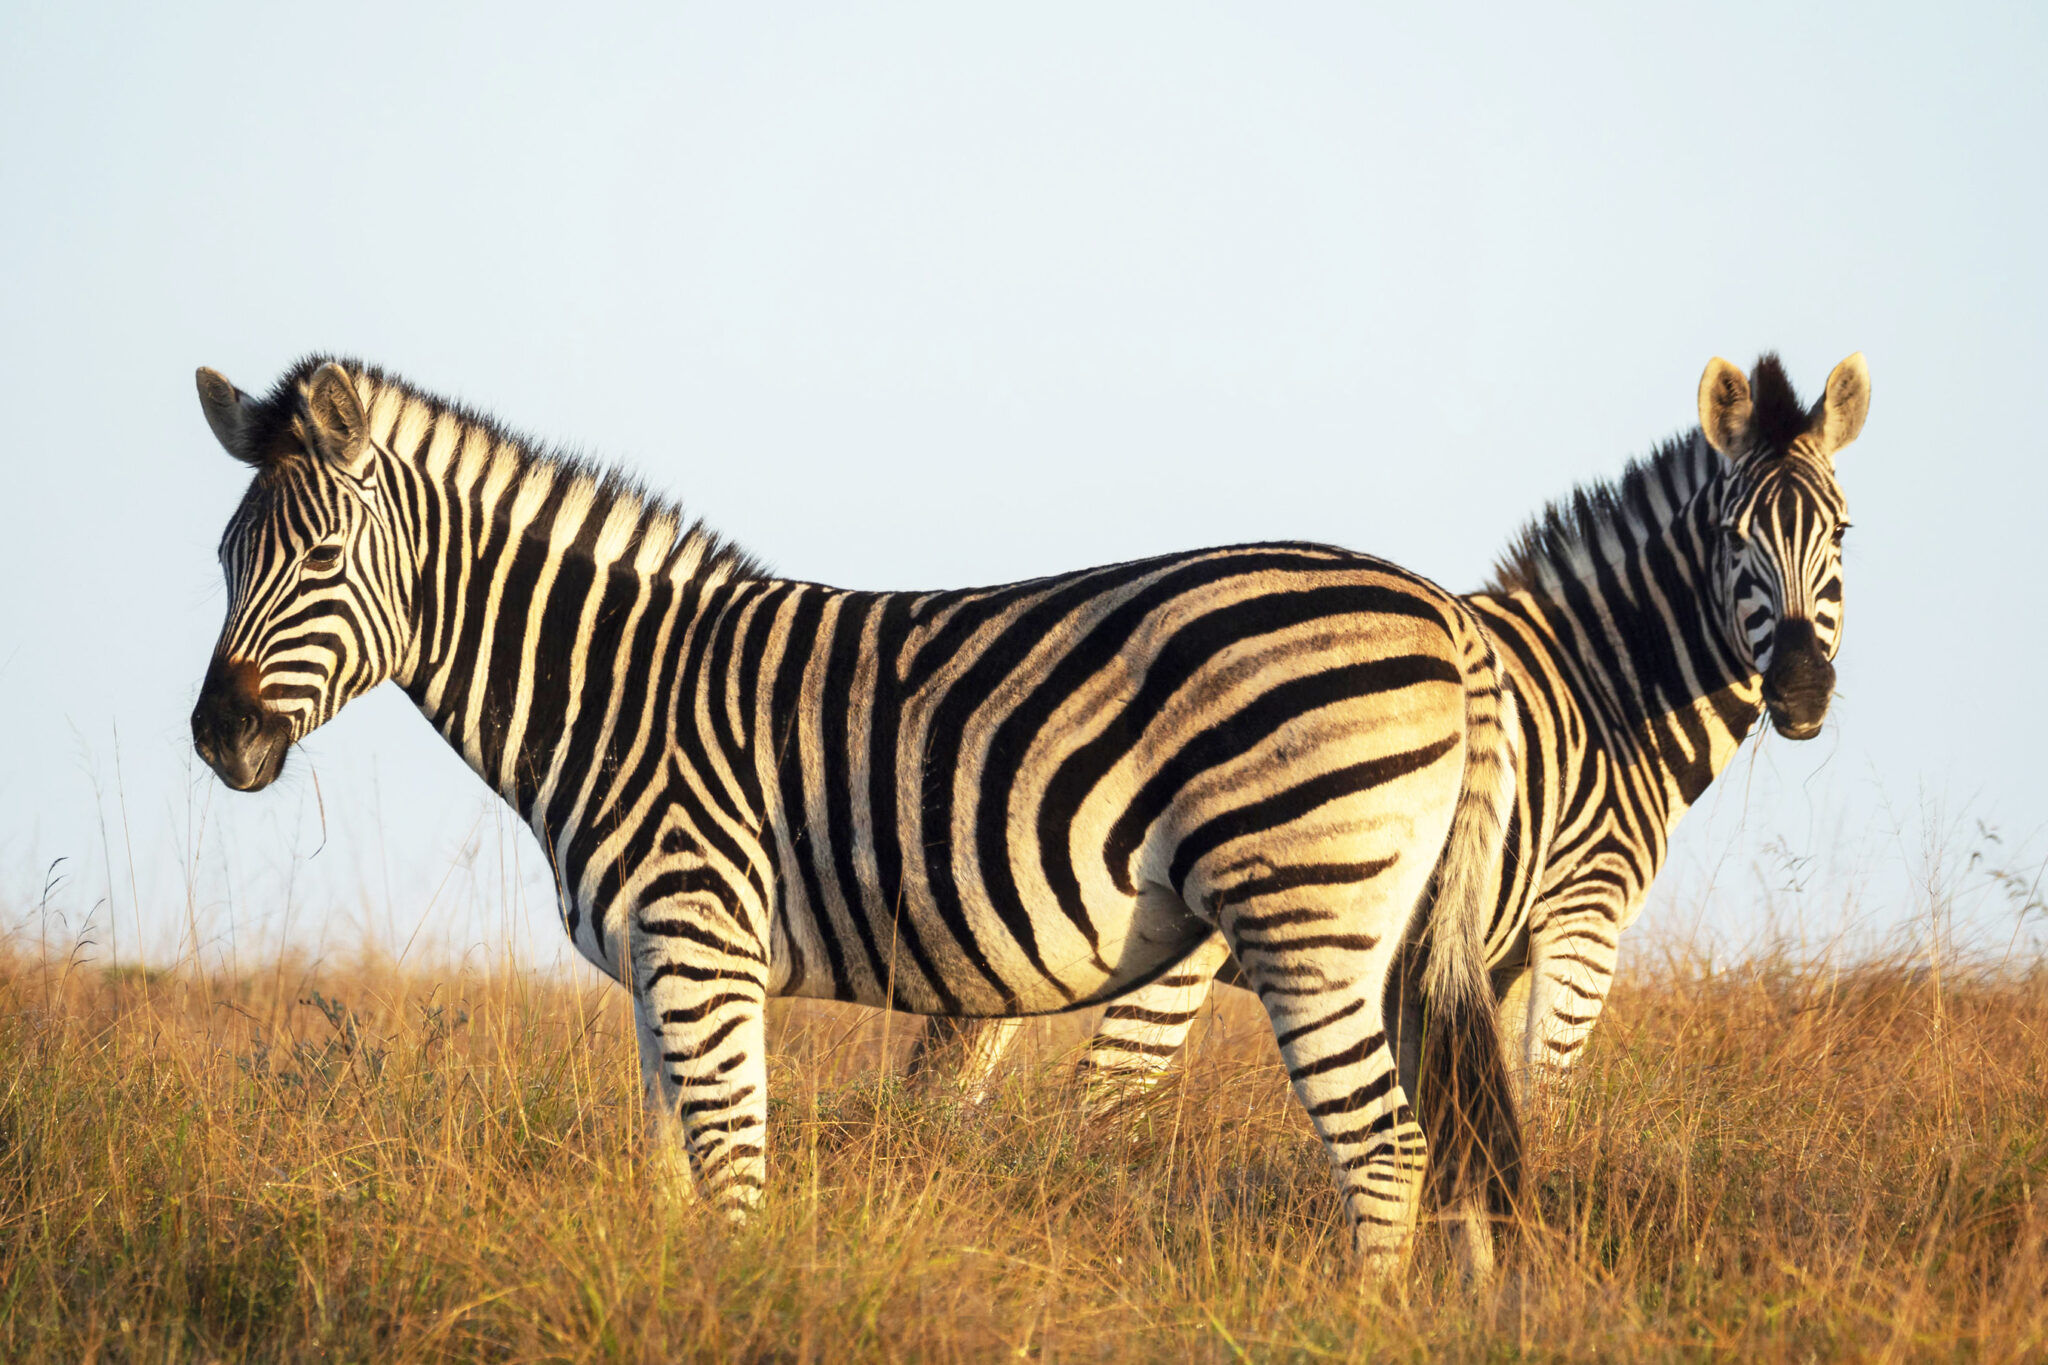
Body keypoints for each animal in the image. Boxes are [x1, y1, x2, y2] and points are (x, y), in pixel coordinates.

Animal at [187, 356, 1523, 1276]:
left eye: (318, 561)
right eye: (219, 560)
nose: (216, 740)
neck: (617, 693)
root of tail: (1444, 613)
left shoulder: (699, 946)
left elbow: (732, 1178)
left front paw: (733, 1307)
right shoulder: (652, 969)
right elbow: (669, 1181)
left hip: (1302, 914)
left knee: (1385, 1151)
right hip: (1396, 936)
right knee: (1451, 1140)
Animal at [909, 351, 1869, 1109]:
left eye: (1843, 532)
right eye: (1733, 536)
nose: (1801, 692)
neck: (1606, 687)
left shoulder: (1488, 952)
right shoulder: (1582, 916)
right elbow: (1549, 1099)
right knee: (1097, 1092)